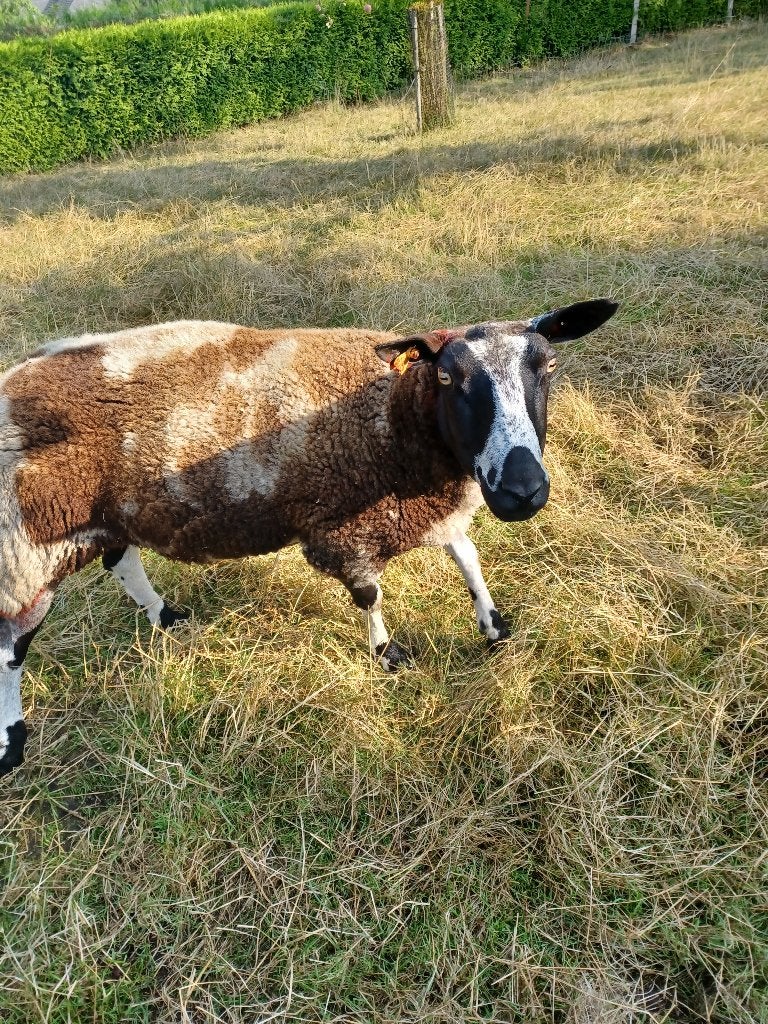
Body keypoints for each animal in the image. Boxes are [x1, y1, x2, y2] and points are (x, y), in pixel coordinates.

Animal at [0, 298, 618, 775]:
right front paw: (387, 655)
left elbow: (468, 558)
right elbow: (370, 595)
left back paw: (167, 617)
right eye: (447, 377)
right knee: (11, 649)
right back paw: (12, 743)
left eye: (550, 364)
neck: (393, 415)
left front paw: (492, 625)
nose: (523, 491)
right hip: (25, 550)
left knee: (121, 562)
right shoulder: (343, 530)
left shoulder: (424, 510)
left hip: (106, 518)